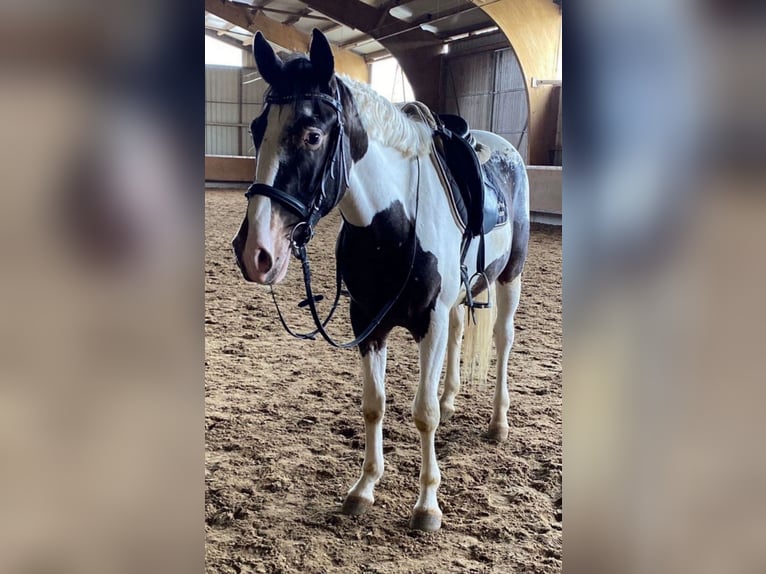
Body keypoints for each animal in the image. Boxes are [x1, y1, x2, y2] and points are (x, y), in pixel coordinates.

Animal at [231, 30, 532, 536]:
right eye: (257, 129)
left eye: (312, 135)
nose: (255, 252)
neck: (391, 224)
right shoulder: (367, 321)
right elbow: (375, 403)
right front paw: (364, 488)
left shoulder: (428, 321)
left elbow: (423, 413)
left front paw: (427, 505)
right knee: (458, 335)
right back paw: (453, 398)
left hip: (511, 277)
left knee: (504, 339)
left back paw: (498, 423)